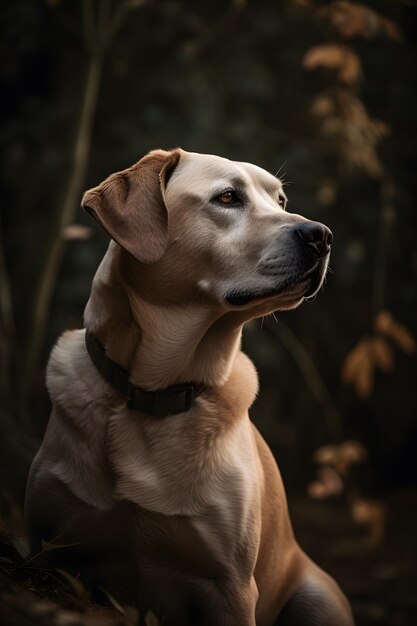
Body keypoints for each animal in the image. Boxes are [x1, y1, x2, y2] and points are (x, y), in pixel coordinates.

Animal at [24, 147, 352, 624]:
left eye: (280, 201)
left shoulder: (232, 587)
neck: (152, 394)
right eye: (228, 197)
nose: (322, 235)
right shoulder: (48, 551)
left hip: (318, 599)